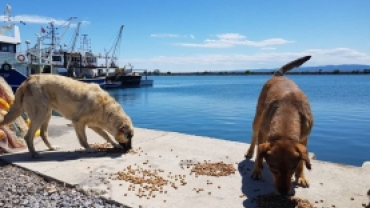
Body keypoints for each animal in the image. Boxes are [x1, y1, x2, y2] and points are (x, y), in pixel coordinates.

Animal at [0, 74, 134, 158]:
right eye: (129, 137)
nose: (130, 149)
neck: (106, 108)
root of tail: (26, 81)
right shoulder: (78, 123)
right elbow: (84, 139)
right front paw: (89, 148)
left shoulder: (94, 125)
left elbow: (107, 135)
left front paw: (115, 144)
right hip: (40, 114)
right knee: (28, 137)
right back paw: (34, 154)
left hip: (47, 114)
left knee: (43, 133)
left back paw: (51, 147)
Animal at [244, 54, 314, 195]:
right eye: (274, 170)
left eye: (291, 170)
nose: (283, 192)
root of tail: (278, 76)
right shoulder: (263, 132)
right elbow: (259, 154)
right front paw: (257, 170)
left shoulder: (304, 138)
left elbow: (301, 162)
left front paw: (301, 177)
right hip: (258, 116)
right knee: (254, 135)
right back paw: (250, 152)